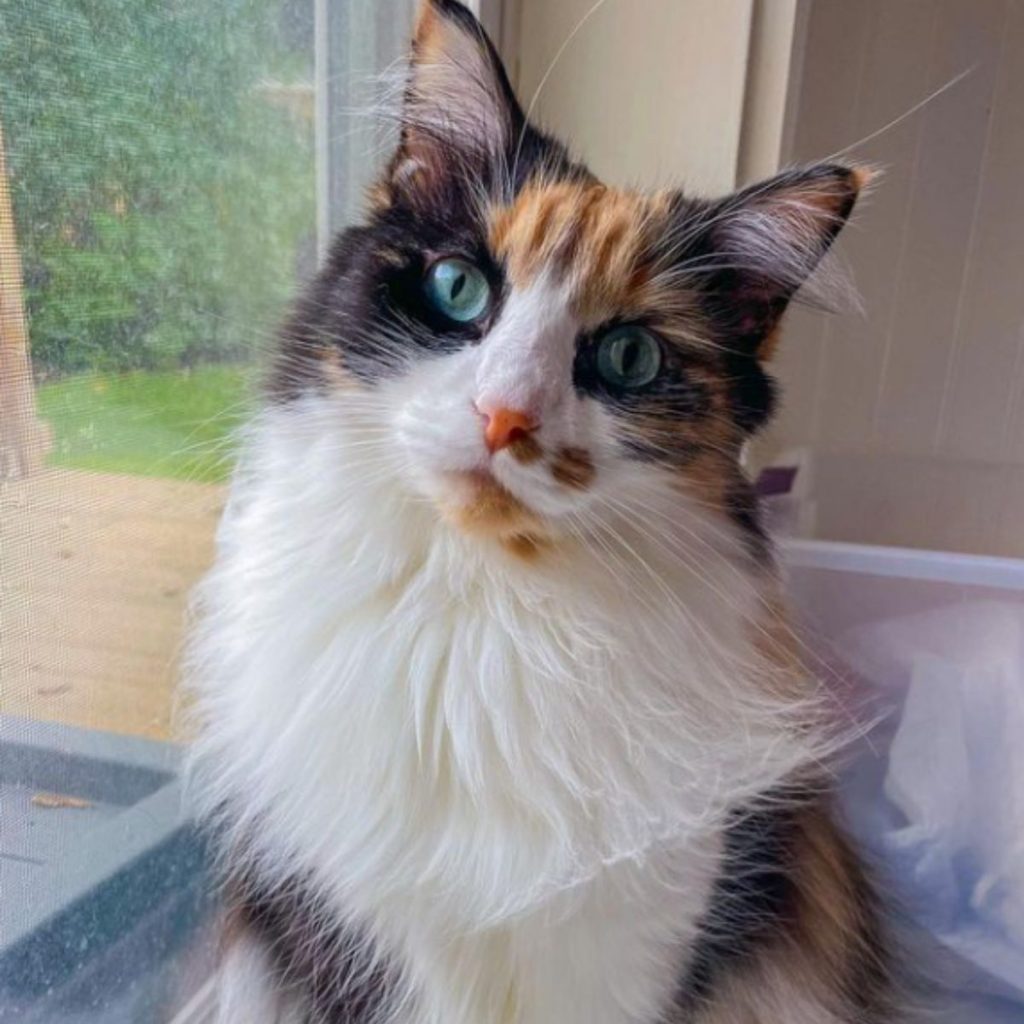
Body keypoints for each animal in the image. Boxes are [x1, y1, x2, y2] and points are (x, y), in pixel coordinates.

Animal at [188, 2, 892, 1024]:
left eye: (631, 358)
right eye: (458, 288)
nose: (504, 417)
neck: (491, 614)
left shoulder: (649, 936)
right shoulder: (351, 928)